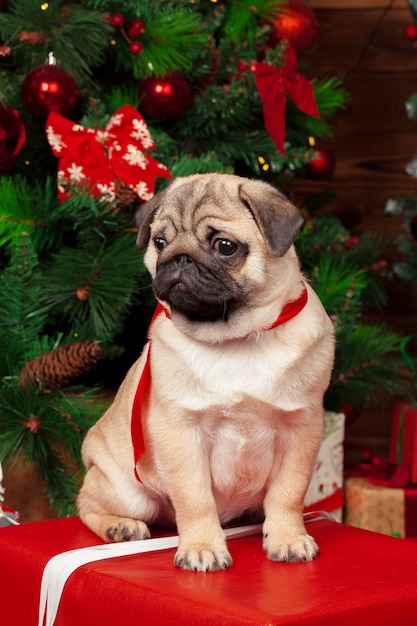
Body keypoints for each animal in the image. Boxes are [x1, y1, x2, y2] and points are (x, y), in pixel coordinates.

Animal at [78, 172, 336, 572]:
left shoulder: (301, 428)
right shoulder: (181, 433)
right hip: (130, 492)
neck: (234, 338)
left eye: (224, 246)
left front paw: (288, 538)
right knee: (86, 505)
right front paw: (201, 547)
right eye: (159, 242)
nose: (178, 258)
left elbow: (288, 494)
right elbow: (195, 498)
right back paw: (120, 527)